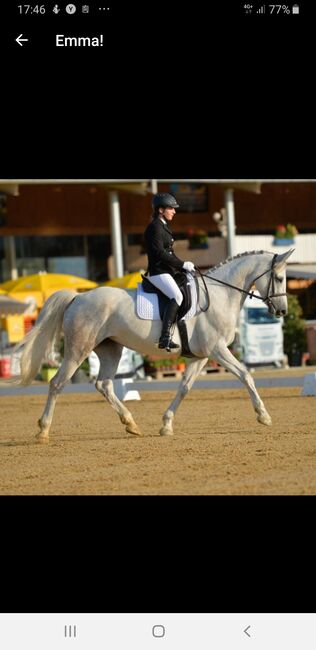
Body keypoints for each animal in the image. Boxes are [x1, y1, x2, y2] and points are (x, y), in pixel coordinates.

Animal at [11, 248, 294, 440]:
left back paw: (131, 424)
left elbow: (184, 387)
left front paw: (166, 424)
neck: (220, 295)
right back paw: (43, 431)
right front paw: (263, 415)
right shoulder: (218, 350)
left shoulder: (200, 356)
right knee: (57, 384)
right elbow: (246, 374)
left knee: (104, 384)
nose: (282, 311)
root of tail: (77, 299)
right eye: (280, 279)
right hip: (78, 351)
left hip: (111, 349)